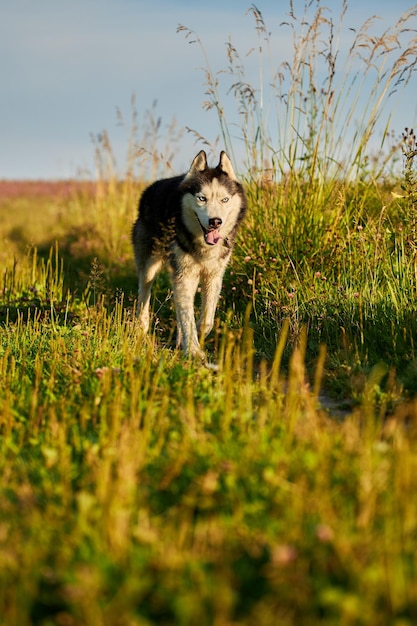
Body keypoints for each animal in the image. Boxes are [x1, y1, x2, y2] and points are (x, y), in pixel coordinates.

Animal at [132, 148, 245, 358]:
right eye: (202, 198)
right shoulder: (184, 276)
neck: (204, 247)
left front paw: (195, 335)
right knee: (144, 292)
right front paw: (193, 350)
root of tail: (149, 190)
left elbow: (206, 318)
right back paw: (141, 328)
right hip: (150, 266)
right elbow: (187, 315)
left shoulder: (214, 275)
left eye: (224, 199)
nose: (215, 221)